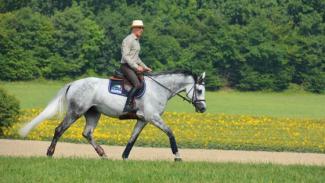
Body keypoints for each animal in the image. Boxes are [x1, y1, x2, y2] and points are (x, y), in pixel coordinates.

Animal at [19, 71, 206, 161]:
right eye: (199, 90)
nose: (203, 108)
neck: (158, 89)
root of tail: (74, 83)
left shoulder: (143, 120)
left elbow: (132, 138)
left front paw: (124, 157)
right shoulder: (153, 118)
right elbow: (170, 132)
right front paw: (177, 156)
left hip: (93, 113)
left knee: (87, 133)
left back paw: (103, 154)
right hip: (76, 111)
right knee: (59, 129)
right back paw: (50, 153)